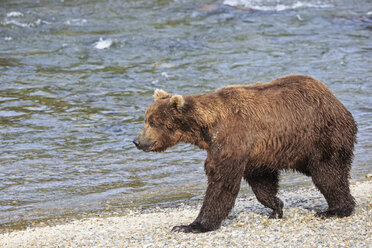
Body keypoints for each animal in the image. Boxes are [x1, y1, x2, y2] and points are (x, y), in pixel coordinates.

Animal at [133, 73, 358, 232]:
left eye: (153, 122)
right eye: (146, 119)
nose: (137, 141)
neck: (207, 128)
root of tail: (334, 99)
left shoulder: (232, 139)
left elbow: (221, 183)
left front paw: (191, 225)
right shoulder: (256, 153)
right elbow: (262, 182)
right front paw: (276, 207)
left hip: (320, 136)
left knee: (328, 173)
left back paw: (335, 210)